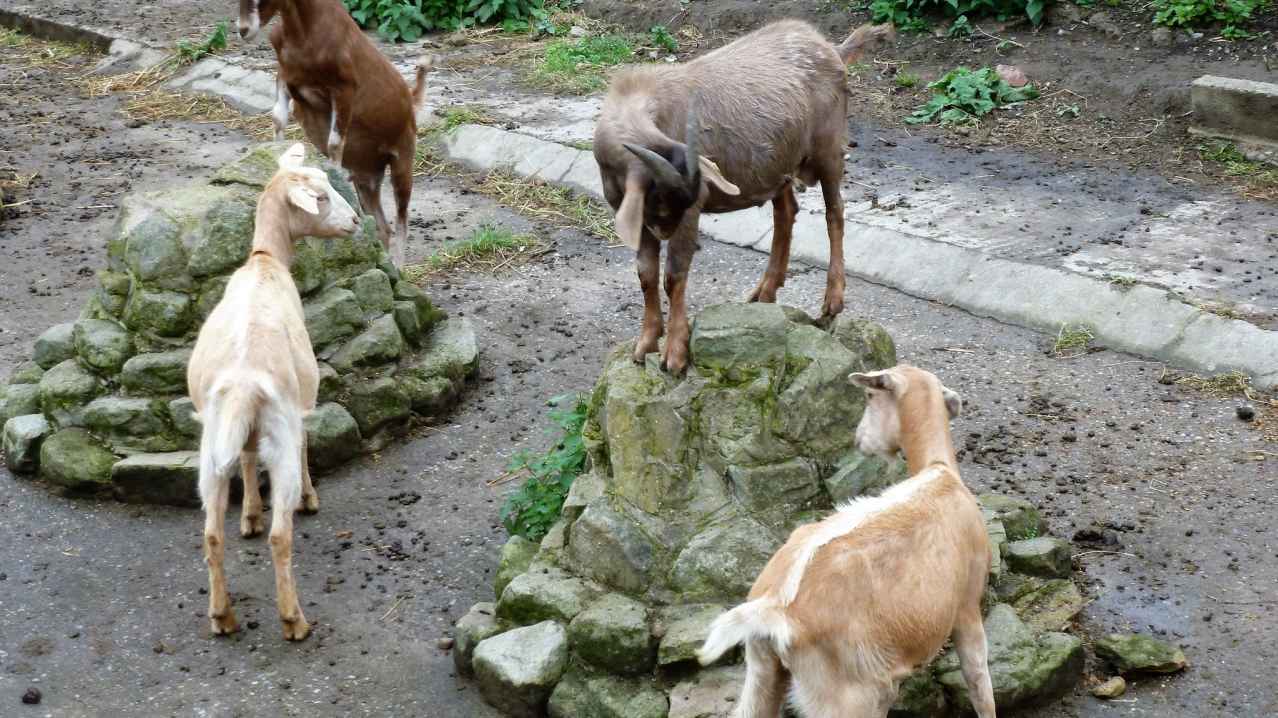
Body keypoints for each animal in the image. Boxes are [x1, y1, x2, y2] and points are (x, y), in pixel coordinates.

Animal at [188, 143, 360, 641]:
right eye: (320, 197)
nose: (355, 222)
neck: (266, 260)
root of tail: (244, 384)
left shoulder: (240, 436)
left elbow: (246, 457)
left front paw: (249, 513)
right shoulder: (302, 403)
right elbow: (305, 445)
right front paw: (309, 498)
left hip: (210, 444)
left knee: (211, 533)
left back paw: (222, 616)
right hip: (278, 428)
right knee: (281, 536)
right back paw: (293, 619)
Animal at [238, 0, 433, 267]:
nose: (243, 30)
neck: (304, 34)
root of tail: (410, 100)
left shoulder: (344, 90)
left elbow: (335, 141)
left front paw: (332, 172)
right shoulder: (285, 76)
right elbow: (278, 117)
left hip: (403, 160)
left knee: (401, 219)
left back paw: (398, 265)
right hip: (367, 179)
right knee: (382, 226)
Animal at [593, 20, 894, 375]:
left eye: (672, 204)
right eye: (659, 203)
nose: (663, 231)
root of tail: (832, 48)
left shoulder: (690, 210)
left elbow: (673, 275)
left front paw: (675, 354)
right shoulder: (635, 214)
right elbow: (646, 275)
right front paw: (645, 344)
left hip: (828, 148)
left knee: (835, 211)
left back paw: (832, 301)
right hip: (780, 164)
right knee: (786, 211)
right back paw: (765, 292)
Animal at [697, 365, 996, 718]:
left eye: (869, 395)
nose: (858, 439)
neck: (939, 471)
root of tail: (776, 608)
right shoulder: (967, 606)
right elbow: (979, 684)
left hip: (762, 672)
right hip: (848, 695)